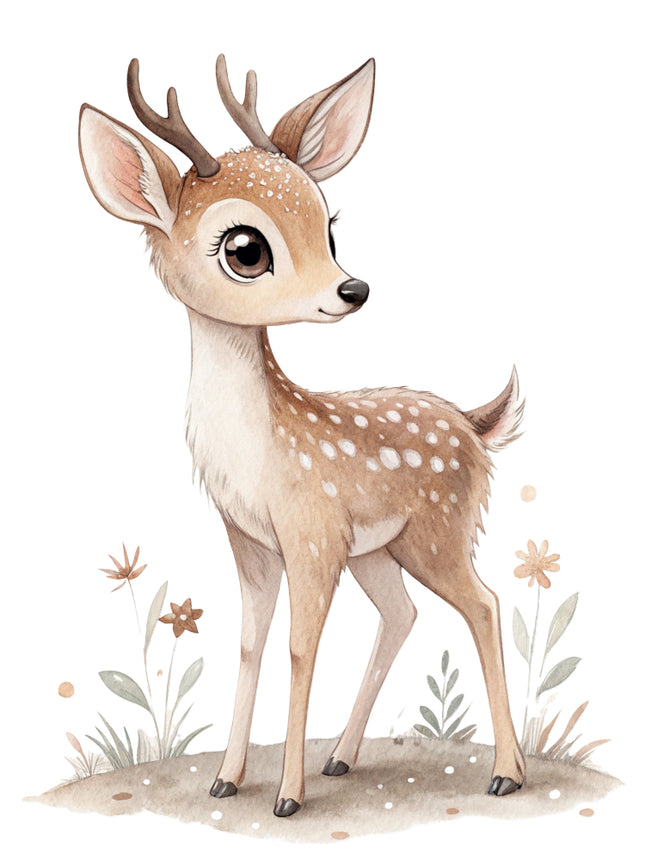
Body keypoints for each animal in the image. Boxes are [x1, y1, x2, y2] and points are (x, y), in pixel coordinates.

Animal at [78, 55, 526, 817]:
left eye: (330, 226)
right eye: (245, 249)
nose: (354, 289)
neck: (258, 455)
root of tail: (474, 422)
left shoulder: (310, 532)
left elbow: (298, 649)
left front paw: (285, 796)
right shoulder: (253, 540)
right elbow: (251, 646)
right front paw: (226, 779)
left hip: (439, 531)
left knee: (486, 605)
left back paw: (506, 773)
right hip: (380, 549)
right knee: (403, 613)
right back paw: (341, 758)